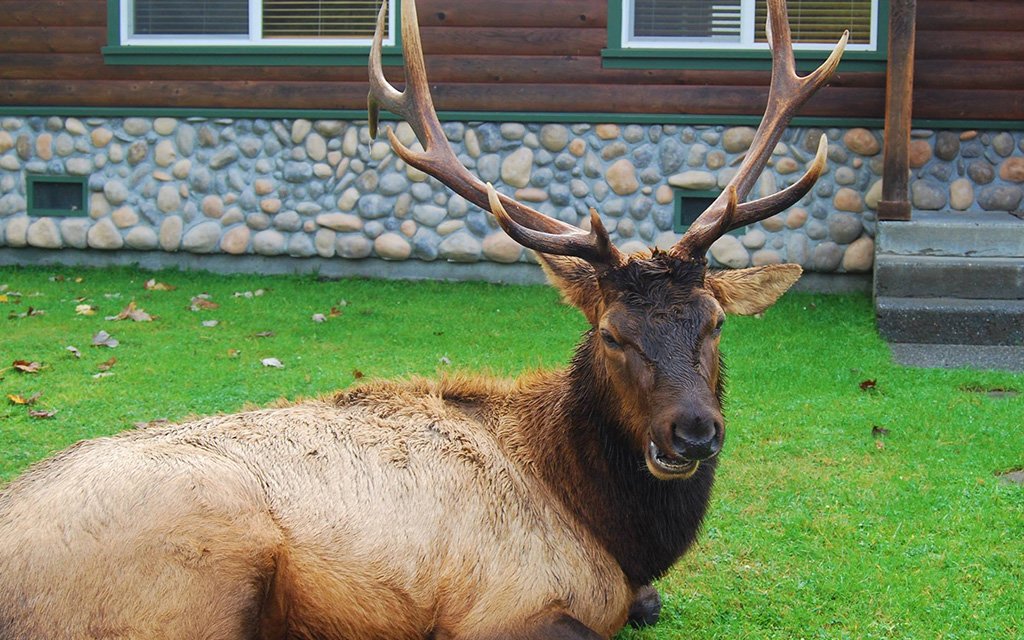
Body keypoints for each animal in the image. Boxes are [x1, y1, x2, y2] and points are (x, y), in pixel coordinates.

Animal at [0, 1, 845, 637]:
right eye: (612, 332)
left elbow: (649, 606)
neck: (606, 527)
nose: (693, 431)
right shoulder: (503, 605)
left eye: (715, 322)